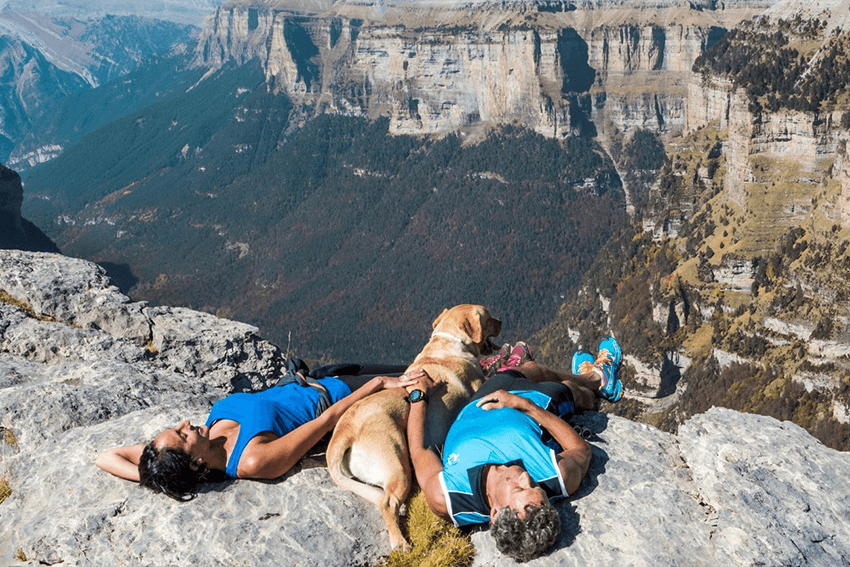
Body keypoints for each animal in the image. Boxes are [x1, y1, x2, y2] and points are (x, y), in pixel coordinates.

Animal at [322, 306, 496, 552]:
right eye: (488, 318)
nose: (500, 321)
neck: (448, 341)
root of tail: (344, 431)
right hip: (399, 466)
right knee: (388, 503)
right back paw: (400, 542)